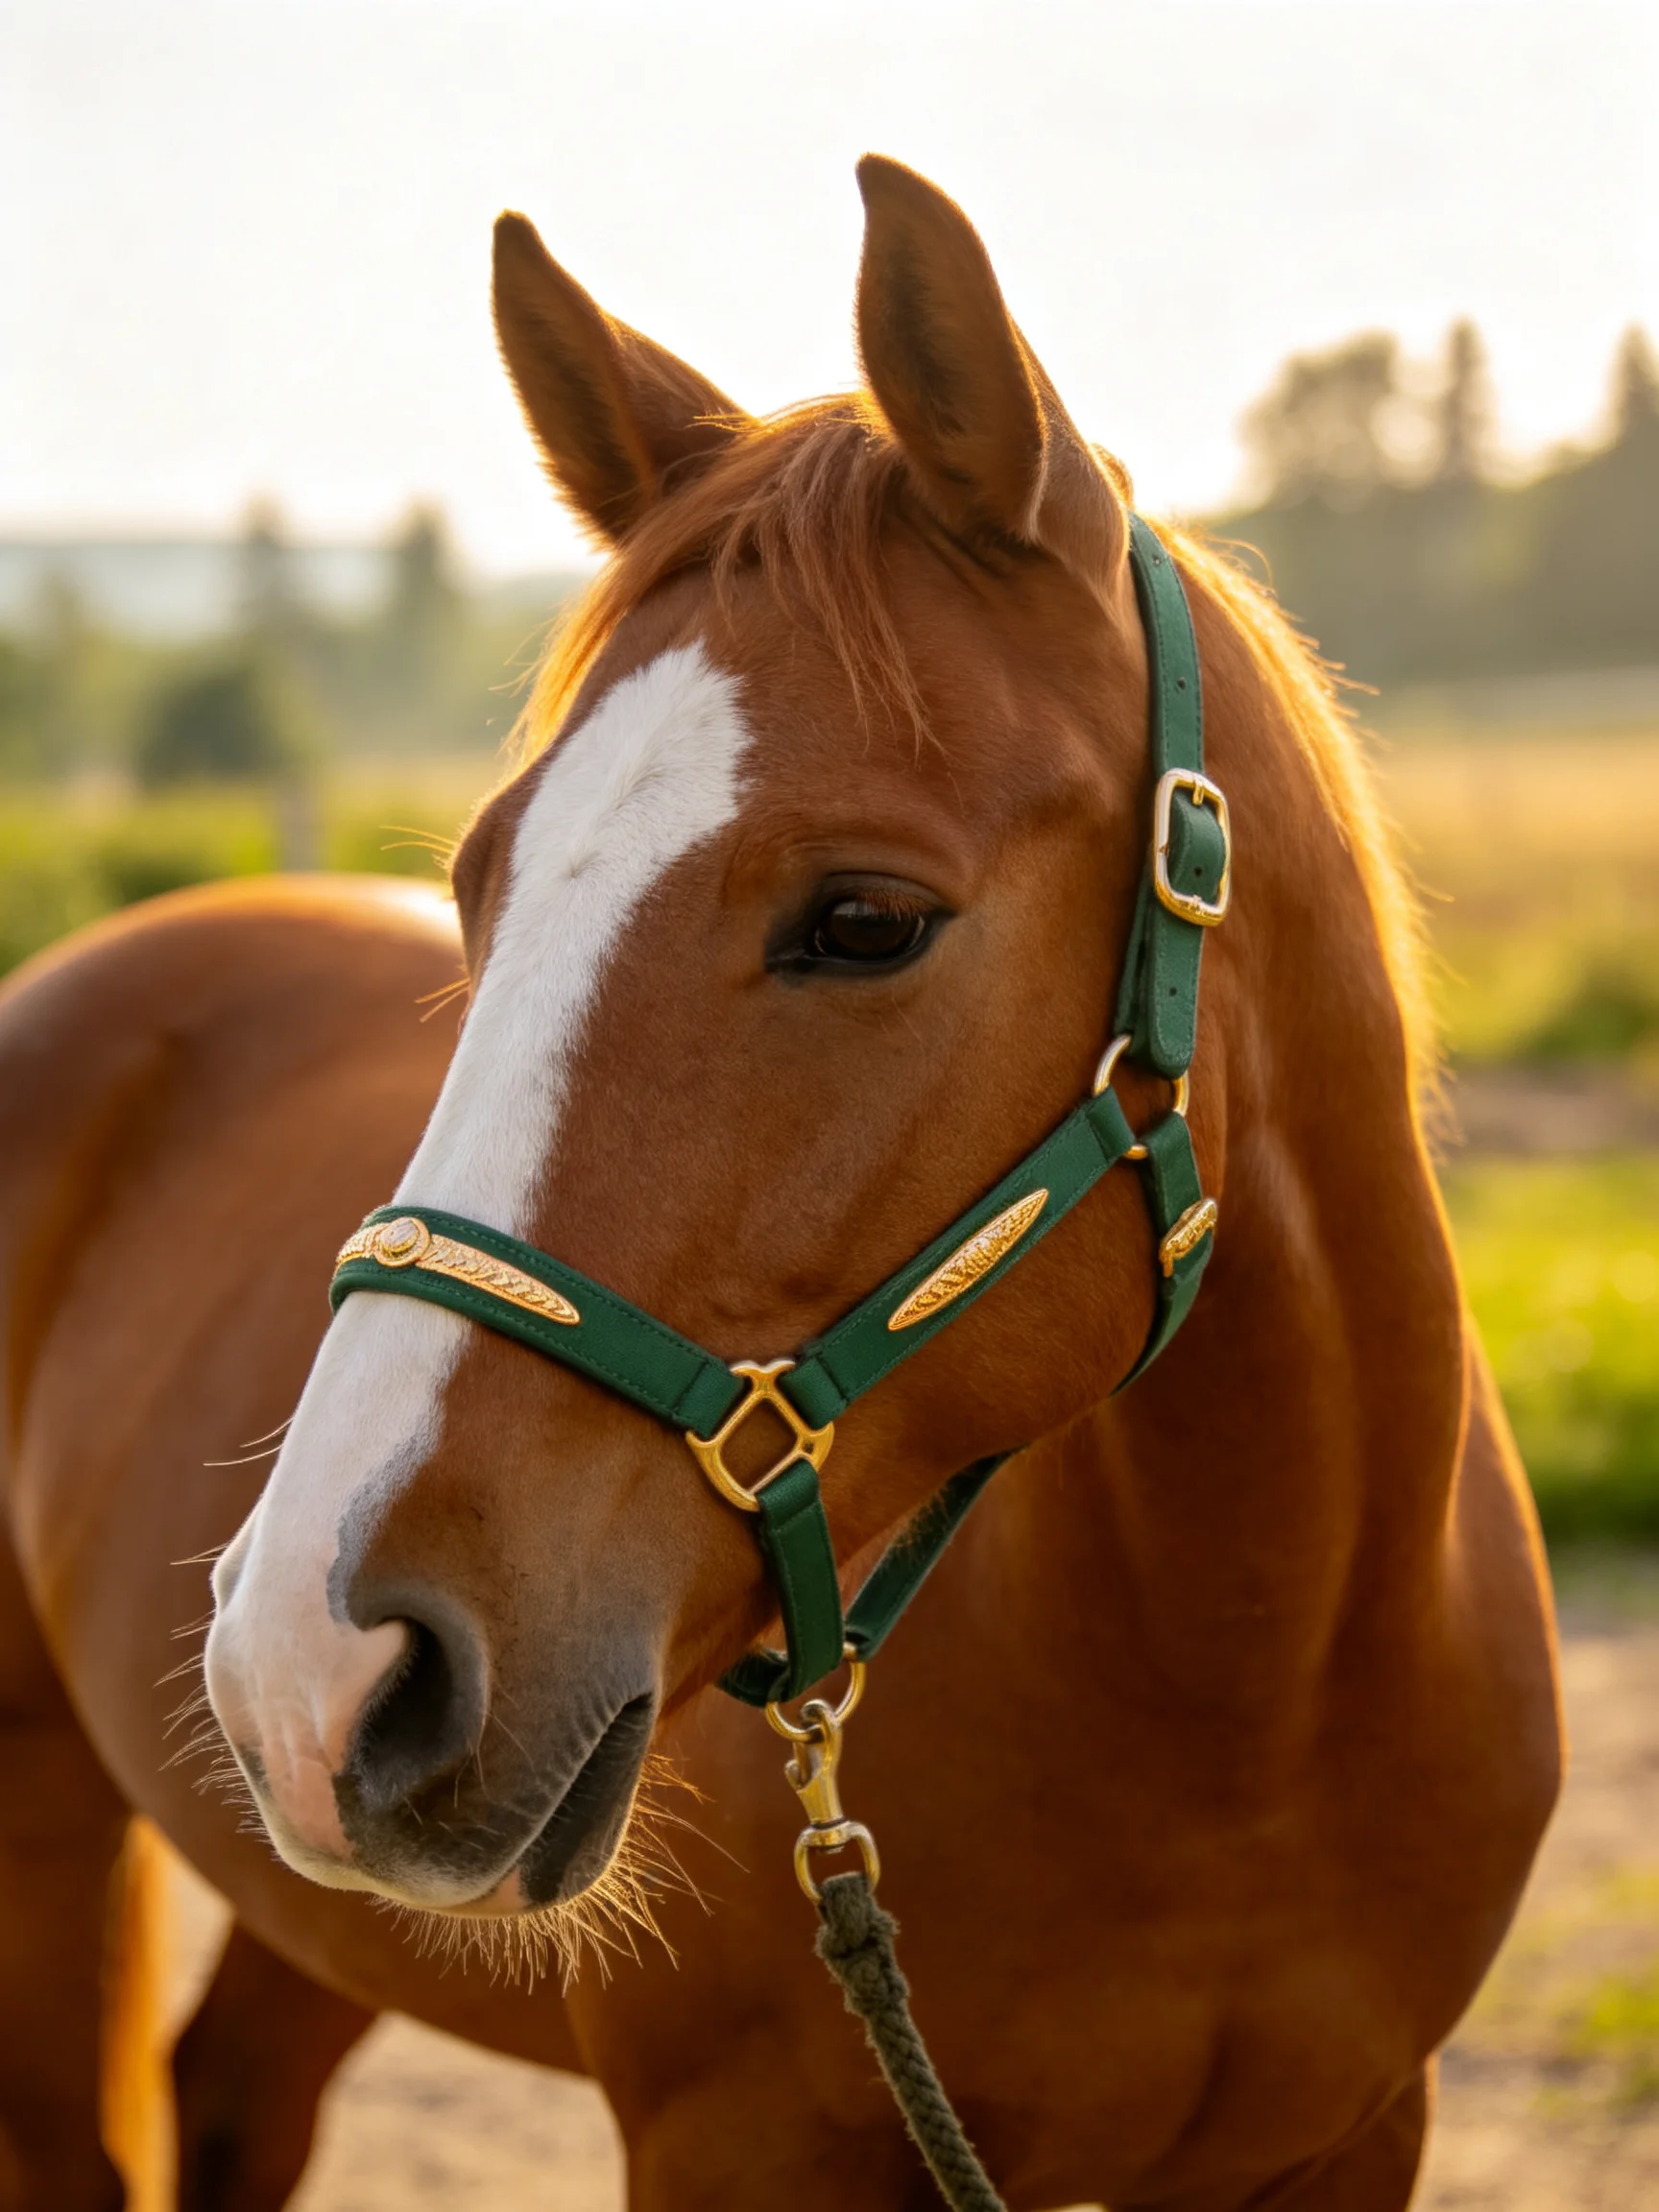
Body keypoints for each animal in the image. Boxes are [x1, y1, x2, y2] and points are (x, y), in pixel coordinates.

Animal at [0, 156, 1561, 2211]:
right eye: (479, 882)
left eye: (865, 918)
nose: (309, 1654)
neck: (1248, 1687)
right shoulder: (733, 2141)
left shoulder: (1347, 2136)